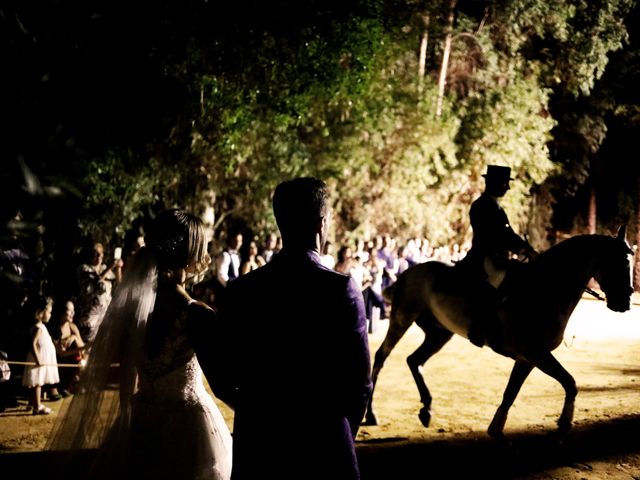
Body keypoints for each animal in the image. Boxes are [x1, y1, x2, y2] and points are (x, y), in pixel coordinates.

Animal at [364, 227, 636, 440]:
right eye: (621, 262)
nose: (624, 303)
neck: (545, 289)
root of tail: (409, 273)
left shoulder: (528, 359)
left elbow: (511, 392)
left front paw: (497, 427)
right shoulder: (534, 353)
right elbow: (569, 382)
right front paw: (564, 423)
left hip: (439, 333)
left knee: (414, 360)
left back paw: (426, 409)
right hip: (402, 318)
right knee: (381, 357)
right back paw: (371, 413)